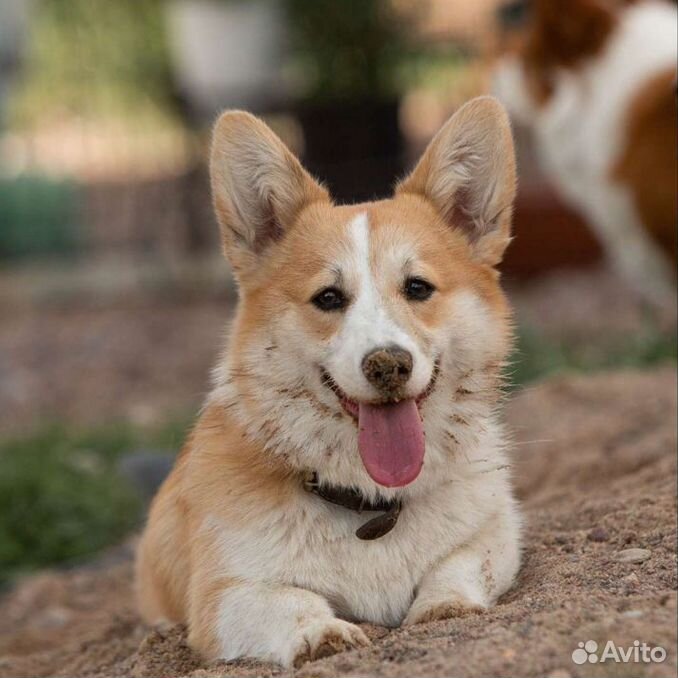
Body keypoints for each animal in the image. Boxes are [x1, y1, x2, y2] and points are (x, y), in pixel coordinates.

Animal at [135, 98, 524, 672]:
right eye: (328, 298)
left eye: (417, 288)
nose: (387, 364)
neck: (371, 505)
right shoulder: (224, 597)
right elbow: (290, 600)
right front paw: (323, 632)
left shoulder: (497, 531)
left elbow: (461, 562)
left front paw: (444, 605)